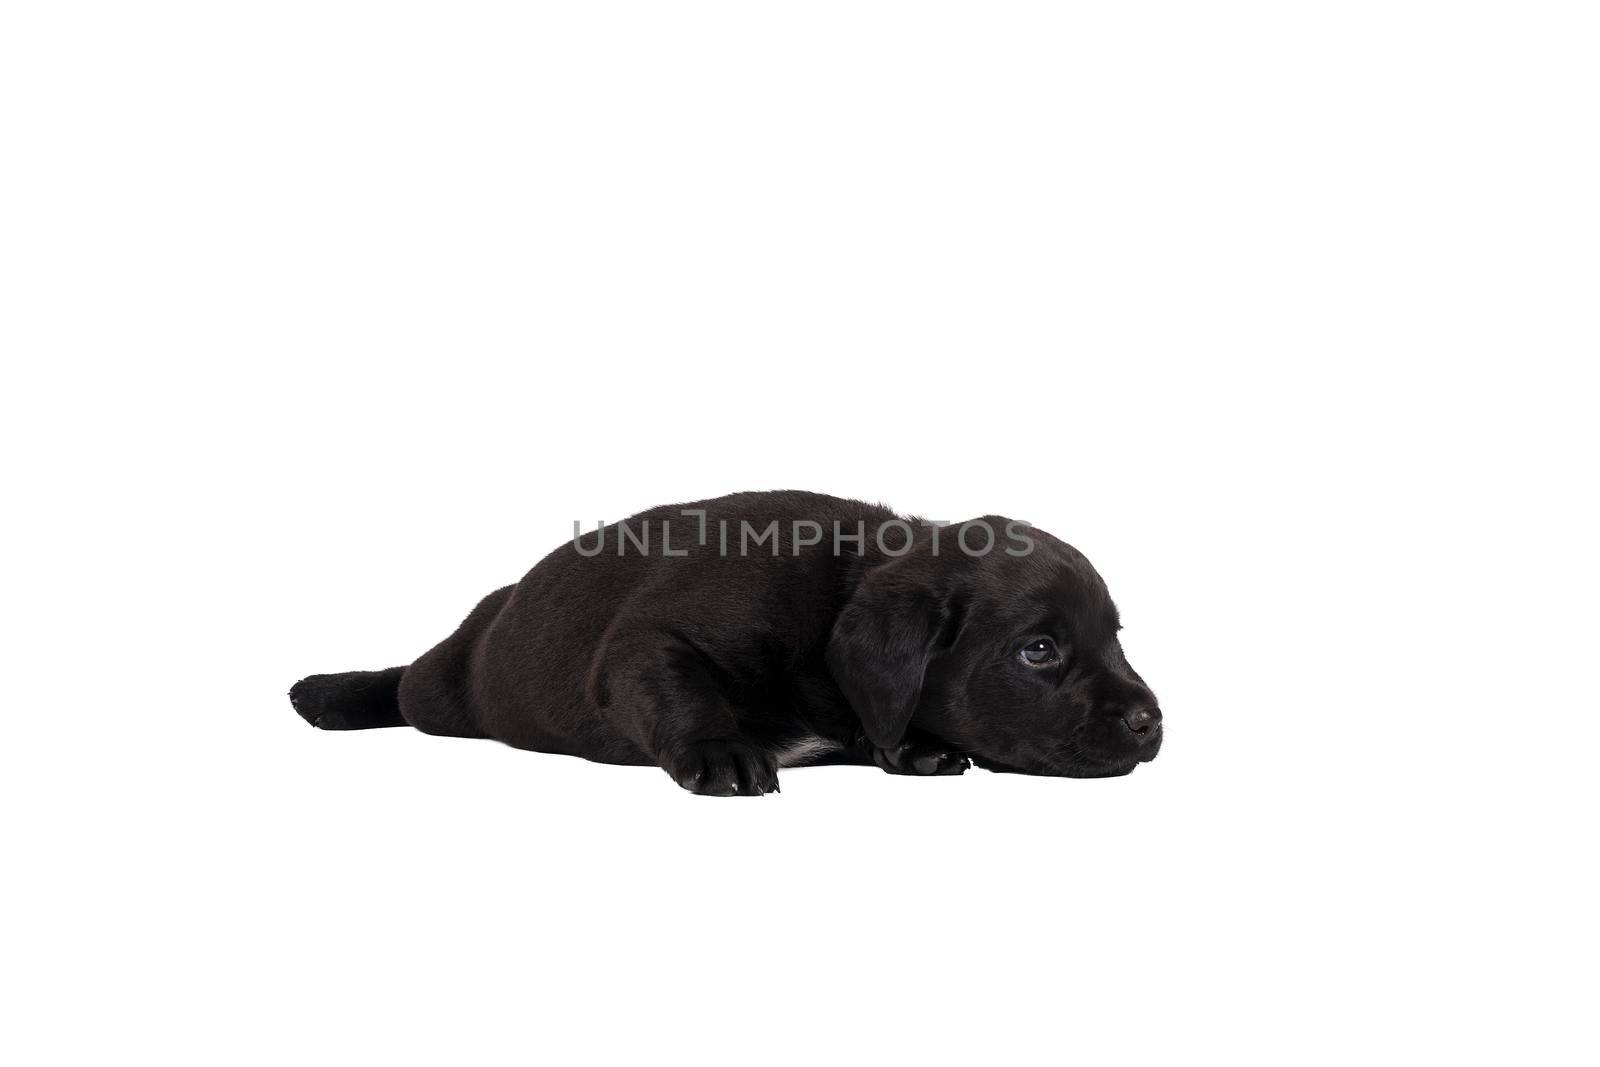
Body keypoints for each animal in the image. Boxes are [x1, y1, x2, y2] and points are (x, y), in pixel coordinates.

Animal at [291, 492, 1164, 793]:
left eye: (1115, 638)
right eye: (1039, 650)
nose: (1151, 720)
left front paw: (912, 746)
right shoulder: (648, 645)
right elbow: (680, 687)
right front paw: (723, 752)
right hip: (443, 688)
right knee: (406, 682)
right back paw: (328, 694)